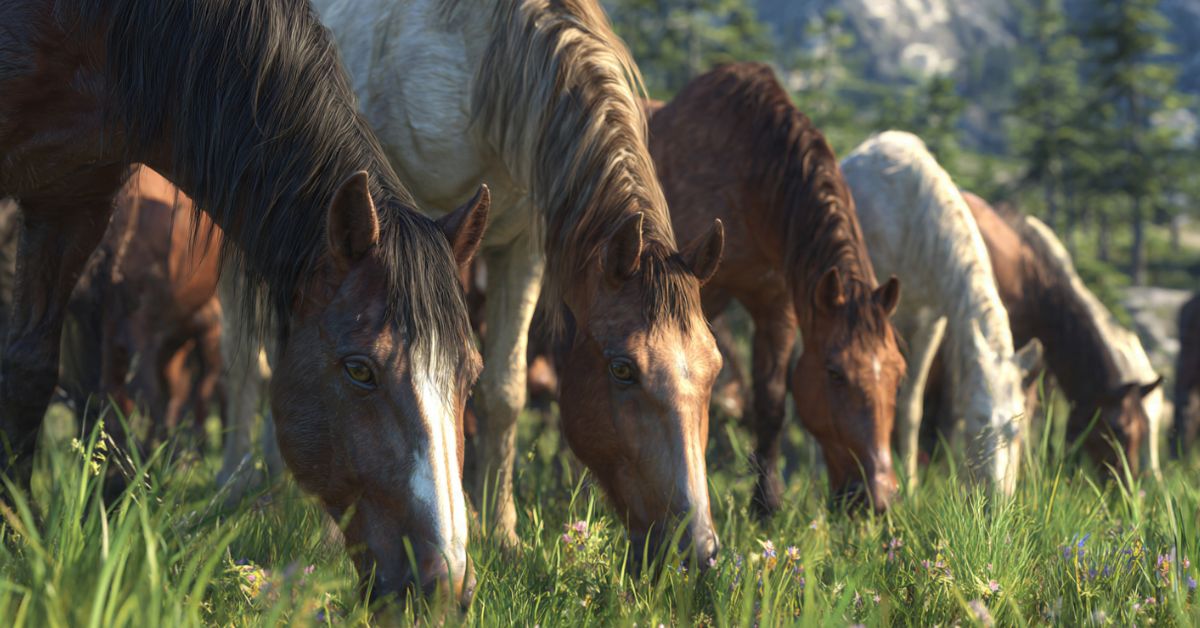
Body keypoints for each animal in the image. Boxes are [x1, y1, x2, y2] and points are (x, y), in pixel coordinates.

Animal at [0, 0, 491, 606]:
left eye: (470, 375)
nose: (446, 586)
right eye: (359, 369)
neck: (93, 30)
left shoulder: (71, 201)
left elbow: (28, 370)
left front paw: (15, 531)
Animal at [312, 0, 724, 564]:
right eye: (622, 369)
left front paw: (500, 531)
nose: (698, 550)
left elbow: (503, 393)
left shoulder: (523, 249)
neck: (479, 63)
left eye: (714, 369)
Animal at [646, 63, 905, 514]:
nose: (878, 498)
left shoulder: (776, 303)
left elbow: (770, 403)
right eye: (835, 373)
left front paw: (766, 506)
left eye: (899, 373)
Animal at [840, 132, 1030, 494]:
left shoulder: (932, 321)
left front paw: (912, 488)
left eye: (1016, 430)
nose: (998, 499)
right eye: (979, 421)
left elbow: (911, 406)